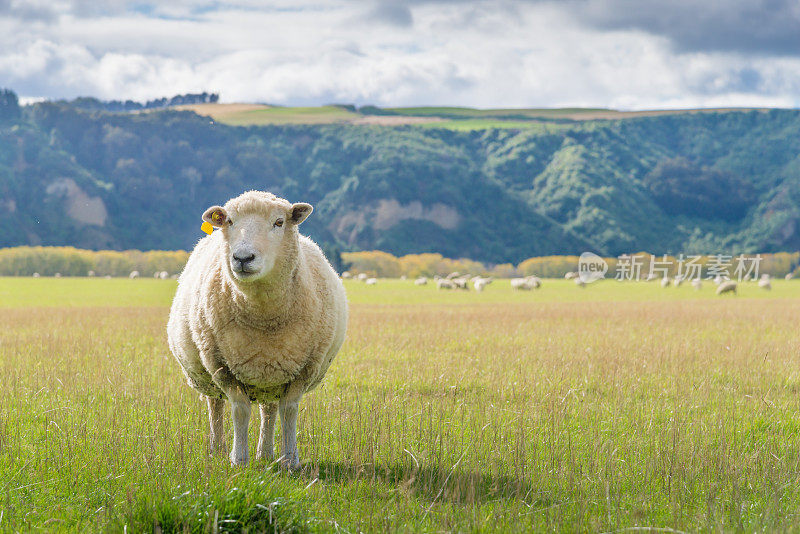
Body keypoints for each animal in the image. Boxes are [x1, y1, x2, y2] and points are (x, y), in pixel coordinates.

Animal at [167, 192, 346, 468]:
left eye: (279, 222)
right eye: (229, 221)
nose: (242, 258)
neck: (264, 318)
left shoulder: (304, 368)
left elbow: (289, 411)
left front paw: (290, 461)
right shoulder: (223, 367)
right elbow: (240, 410)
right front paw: (239, 460)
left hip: (270, 374)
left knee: (269, 409)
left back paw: (266, 454)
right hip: (208, 372)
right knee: (215, 406)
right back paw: (217, 450)